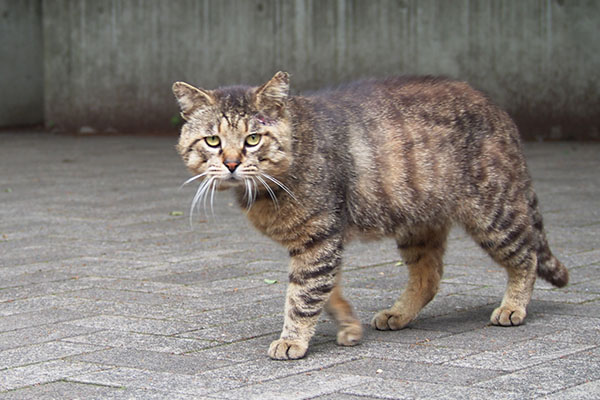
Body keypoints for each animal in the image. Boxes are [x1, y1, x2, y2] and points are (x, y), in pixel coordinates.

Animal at [172, 71, 568, 360]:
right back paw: (398, 314)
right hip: (417, 223)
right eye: (212, 141)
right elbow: (327, 290)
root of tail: (495, 107)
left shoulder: (319, 237)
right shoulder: (317, 242)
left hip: (493, 215)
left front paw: (293, 340)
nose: (231, 163)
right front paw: (348, 325)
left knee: (527, 256)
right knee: (429, 276)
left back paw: (513, 307)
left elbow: (303, 297)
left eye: (253, 139)